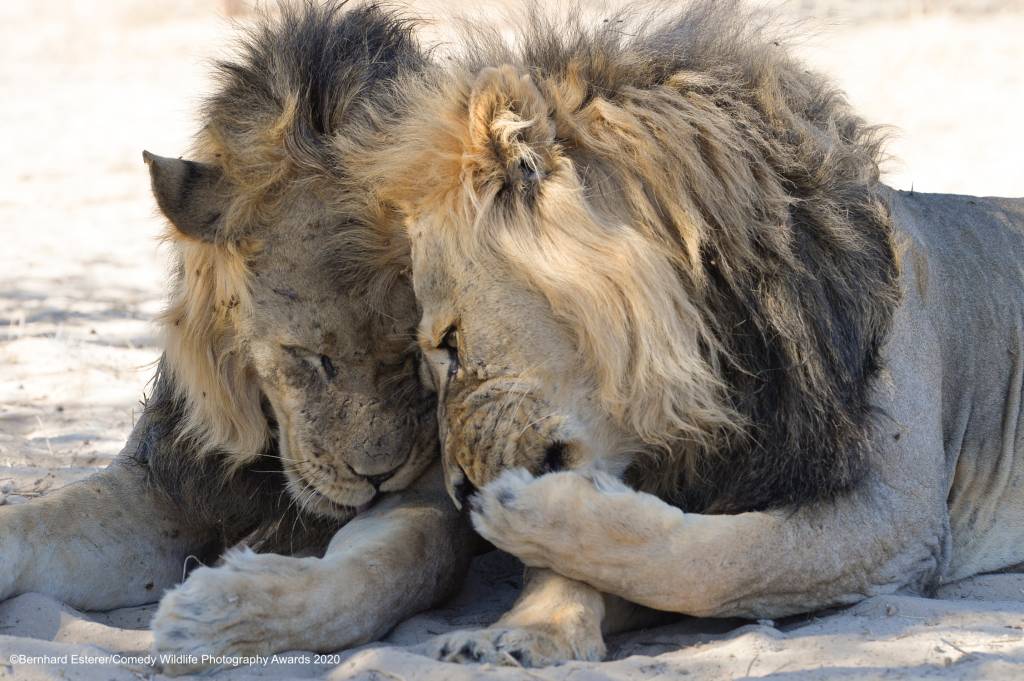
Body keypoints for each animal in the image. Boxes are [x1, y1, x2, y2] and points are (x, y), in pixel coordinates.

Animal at [0, 3, 472, 673]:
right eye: (307, 357)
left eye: (415, 355)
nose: (376, 476)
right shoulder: (161, 481)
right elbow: (31, 523)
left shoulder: (429, 495)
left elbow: (392, 565)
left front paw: (217, 617)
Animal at [358, 0, 1024, 666]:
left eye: (450, 343)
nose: (458, 492)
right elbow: (597, 565)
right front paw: (528, 630)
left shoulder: (902, 519)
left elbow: (719, 561)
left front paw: (527, 516)